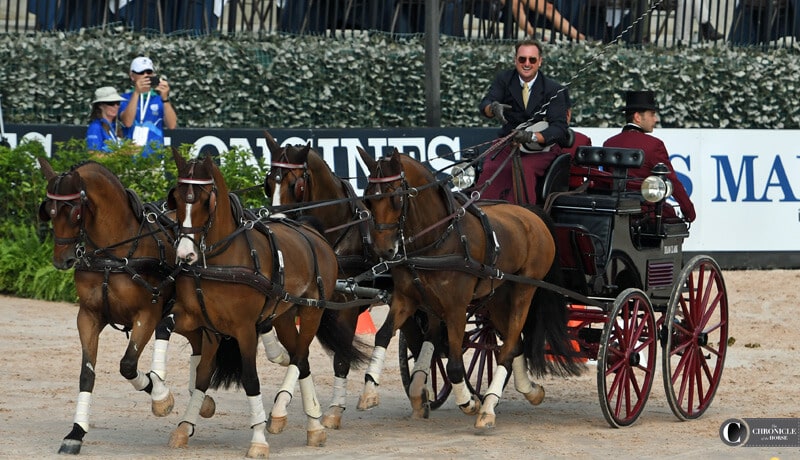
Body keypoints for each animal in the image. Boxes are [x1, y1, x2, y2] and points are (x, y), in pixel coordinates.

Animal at [38, 157, 216, 452]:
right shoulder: (88, 316)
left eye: (75, 213)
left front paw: (161, 397)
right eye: (49, 212)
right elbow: (87, 374)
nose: (62, 260)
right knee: (198, 350)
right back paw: (200, 403)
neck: (114, 255)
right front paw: (76, 432)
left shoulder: (147, 314)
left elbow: (128, 365)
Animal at [167, 151, 360, 456]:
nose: (185, 254)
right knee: (301, 358)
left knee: (300, 356)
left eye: (205, 199)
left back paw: (287, 414)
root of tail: (312, 232)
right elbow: (200, 374)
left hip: (312, 310)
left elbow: (250, 380)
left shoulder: (245, 330)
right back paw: (313, 425)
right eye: (174, 197)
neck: (221, 260)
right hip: (283, 316)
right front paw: (183, 424)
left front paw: (258, 439)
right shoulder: (203, 325)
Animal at [356, 149, 580, 430]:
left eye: (396, 197)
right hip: (497, 297)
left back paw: (488, 407)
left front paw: (469, 402)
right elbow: (385, 335)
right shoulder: (407, 299)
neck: (439, 239)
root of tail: (531, 214)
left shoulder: (456, 309)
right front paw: (370, 391)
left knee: (508, 345)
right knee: (513, 343)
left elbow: (453, 365)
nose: (384, 250)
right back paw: (529, 391)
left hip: (523, 291)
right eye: (367, 199)